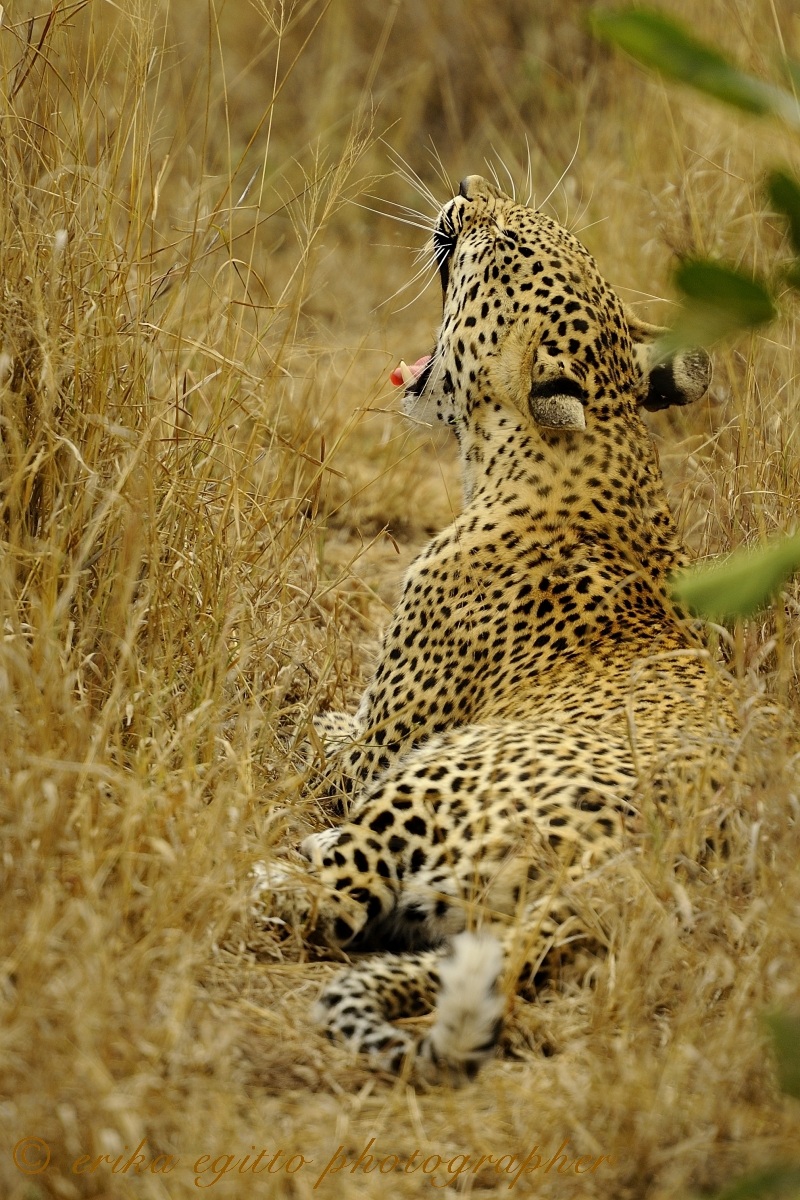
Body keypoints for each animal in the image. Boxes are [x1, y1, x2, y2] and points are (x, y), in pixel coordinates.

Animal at [265, 174, 739, 1081]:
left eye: (508, 245)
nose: (465, 190)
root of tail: (624, 871)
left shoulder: (385, 744)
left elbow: (318, 732)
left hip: (430, 775)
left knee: (334, 900)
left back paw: (271, 875)